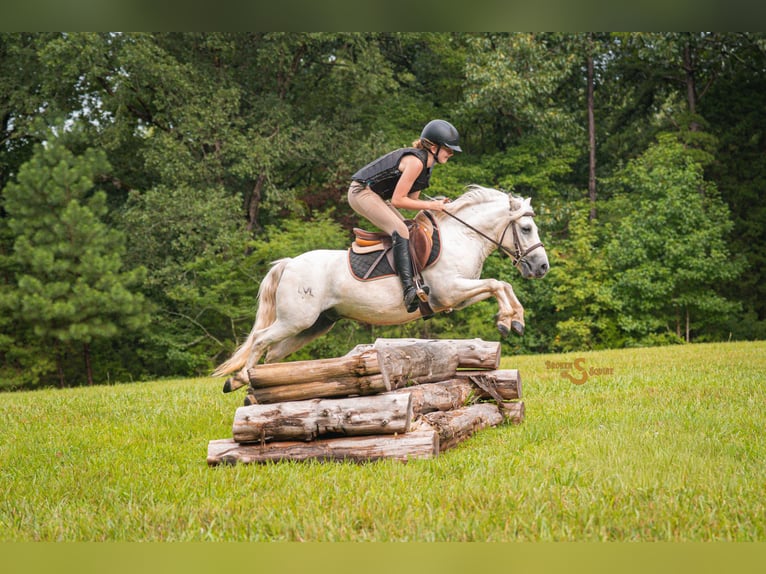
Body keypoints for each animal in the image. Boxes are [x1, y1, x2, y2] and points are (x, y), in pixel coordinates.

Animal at [214, 185, 549, 392]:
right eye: (526, 228)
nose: (542, 267)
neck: (462, 236)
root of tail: (288, 263)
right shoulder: (450, 290)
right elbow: (498, 283)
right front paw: (509, 320)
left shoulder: (456, 297)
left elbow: (500, 285)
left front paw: (513, 320)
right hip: (296, 319)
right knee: (260, 340)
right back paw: (242, 381)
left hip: (314, 325)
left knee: (273, 354)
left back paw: (254, 388)